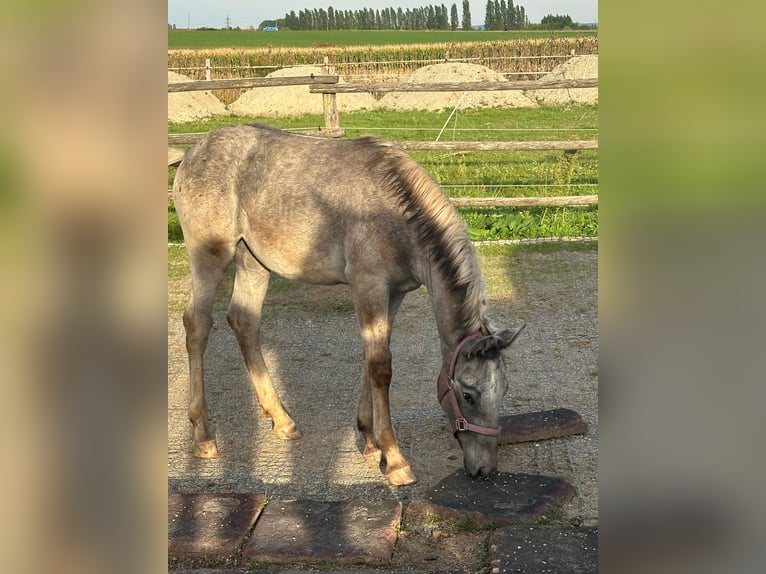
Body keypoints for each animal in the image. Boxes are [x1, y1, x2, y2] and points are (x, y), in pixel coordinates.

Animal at [173, 124, 525, 486]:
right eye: (468, 394)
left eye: (504, 389)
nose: (484, 468)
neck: (396, 212)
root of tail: (194, 152)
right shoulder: (369, 288)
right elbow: (381, 367)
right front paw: (394, 459)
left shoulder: (394, 293)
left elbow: (372, 361)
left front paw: (369, 442)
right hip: (210, 258)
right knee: (197, 325)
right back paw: (203, 436)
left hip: (253, 264)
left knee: (244, 322)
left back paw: (282, 420)